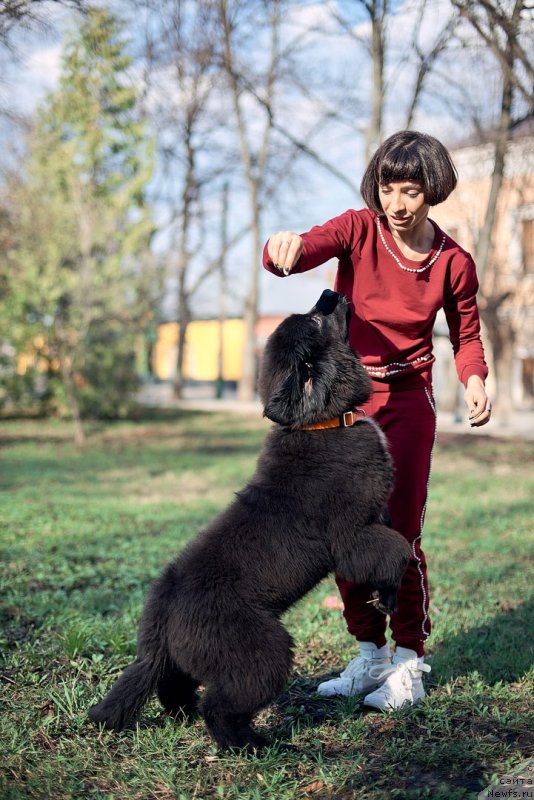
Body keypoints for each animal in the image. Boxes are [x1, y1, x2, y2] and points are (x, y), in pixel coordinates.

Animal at [90, 292, 412, 752]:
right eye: (317, 321)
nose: (331, 293)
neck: (320, 422)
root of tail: (161, 616)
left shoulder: (372, 520)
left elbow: (394, 542)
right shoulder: (352, 538)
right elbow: (396, 552)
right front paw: (387, 595)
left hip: (186, 659)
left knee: (173, 686)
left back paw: (186, 715)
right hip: (262, 649)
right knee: (222, 706)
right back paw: (254, 745)